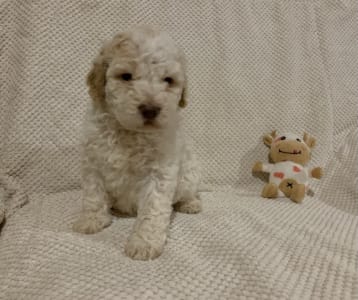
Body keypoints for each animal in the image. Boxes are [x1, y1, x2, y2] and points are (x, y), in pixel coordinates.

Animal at [72, 25, 201, 260]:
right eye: (126, 76)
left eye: (168, 80)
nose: (150, 109)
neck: (130, 132)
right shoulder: (92, 162)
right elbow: (93, 195)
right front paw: (91, 220)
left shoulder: (159, 172)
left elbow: (153, 209)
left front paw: (144, 243)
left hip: (189, 175)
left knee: (188, 192)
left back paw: (191, 203)